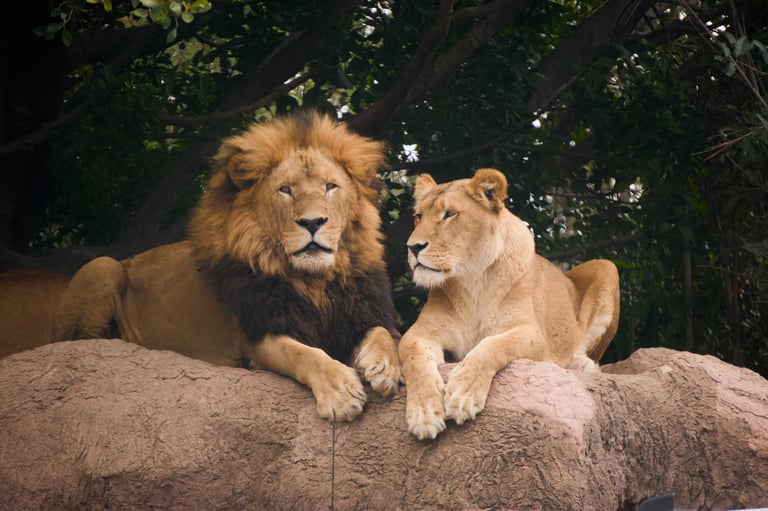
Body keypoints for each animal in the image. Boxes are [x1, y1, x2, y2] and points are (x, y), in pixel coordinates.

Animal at [52, 111, 402, 422]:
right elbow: (305, 355)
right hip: (102, 266)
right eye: (286, 190)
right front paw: (341, 393)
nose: (313, 222)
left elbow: (382, 333)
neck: (315, 280)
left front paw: (385, 367)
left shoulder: (356, 311)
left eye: (330, 186)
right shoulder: (258, 334)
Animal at [399, 168, 620, 439]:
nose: (413, 247)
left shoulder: (533, 333)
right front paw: (425, 413)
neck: (473, 280)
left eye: (449, 214)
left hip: (607, 266)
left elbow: (494, 344)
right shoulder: (418, 334)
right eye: (418, 216)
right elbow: (416, 360)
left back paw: (581, 364)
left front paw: (463, 393)